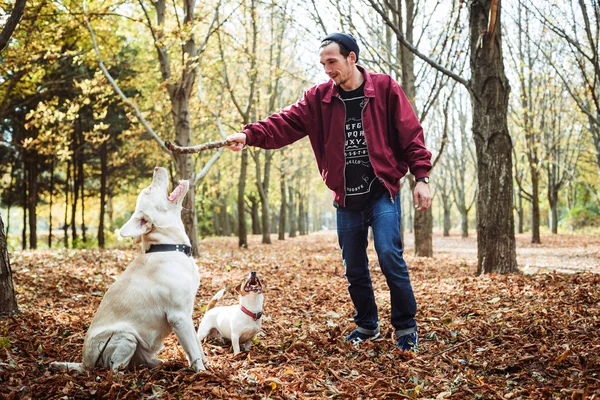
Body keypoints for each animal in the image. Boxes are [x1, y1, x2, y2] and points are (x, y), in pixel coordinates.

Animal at [49, 167, 204, 374]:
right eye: (149, 189)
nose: (157, 168)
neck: (167, 247)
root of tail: (84, 363)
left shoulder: (187, 314)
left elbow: (198, 346)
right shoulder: (179, 316)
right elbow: (193, 352)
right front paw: (203, 372)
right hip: (125, 336)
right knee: (114, 370)